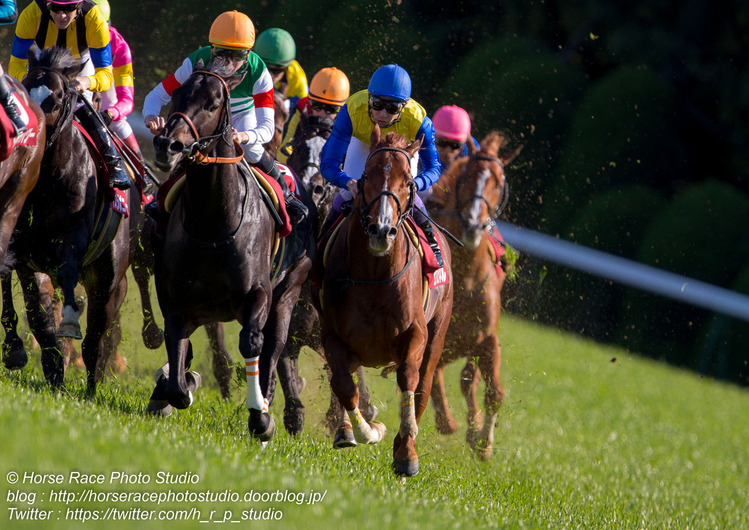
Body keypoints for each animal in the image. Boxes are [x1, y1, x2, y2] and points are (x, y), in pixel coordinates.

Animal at [1, 47, 130, 386]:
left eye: (57, 101)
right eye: (26, 87)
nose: (34, 135)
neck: (49, 178)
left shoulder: (74, 234)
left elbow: (69, 272)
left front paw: (70, 322)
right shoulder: (25, 249)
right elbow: (36, 311)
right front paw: (26, 354)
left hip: (110, 275)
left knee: (98, 333)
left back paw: (92, 382)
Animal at [146, 58, 312, 442]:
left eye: (211, 105)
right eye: (178, 95)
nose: (167, 145)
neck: (213, 223)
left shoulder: (259, 294)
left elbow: (252, 344)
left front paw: (260, 417)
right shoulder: (176, 297)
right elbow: (178, 367)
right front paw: (177, 385)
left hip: (289, 291)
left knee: (274, 347)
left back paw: (267, 402)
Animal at [312, 128, 452, 474]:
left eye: (409, 181)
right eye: (366, 177)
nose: (381, 230)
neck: (375, 276)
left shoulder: (416, 332)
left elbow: (410, 380)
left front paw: (406, 446)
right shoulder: (332, 335)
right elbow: (344, 384)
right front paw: (367, 431)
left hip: (439, 331)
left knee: (423, 385)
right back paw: (347, 429)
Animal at [424, 131, 524, 458]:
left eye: (499, 182)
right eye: (466, 176)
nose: (472, 224)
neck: (466, 278)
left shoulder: (487, 338)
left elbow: (494, 392)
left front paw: (482, 442)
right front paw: (453, 424)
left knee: (467, 379)